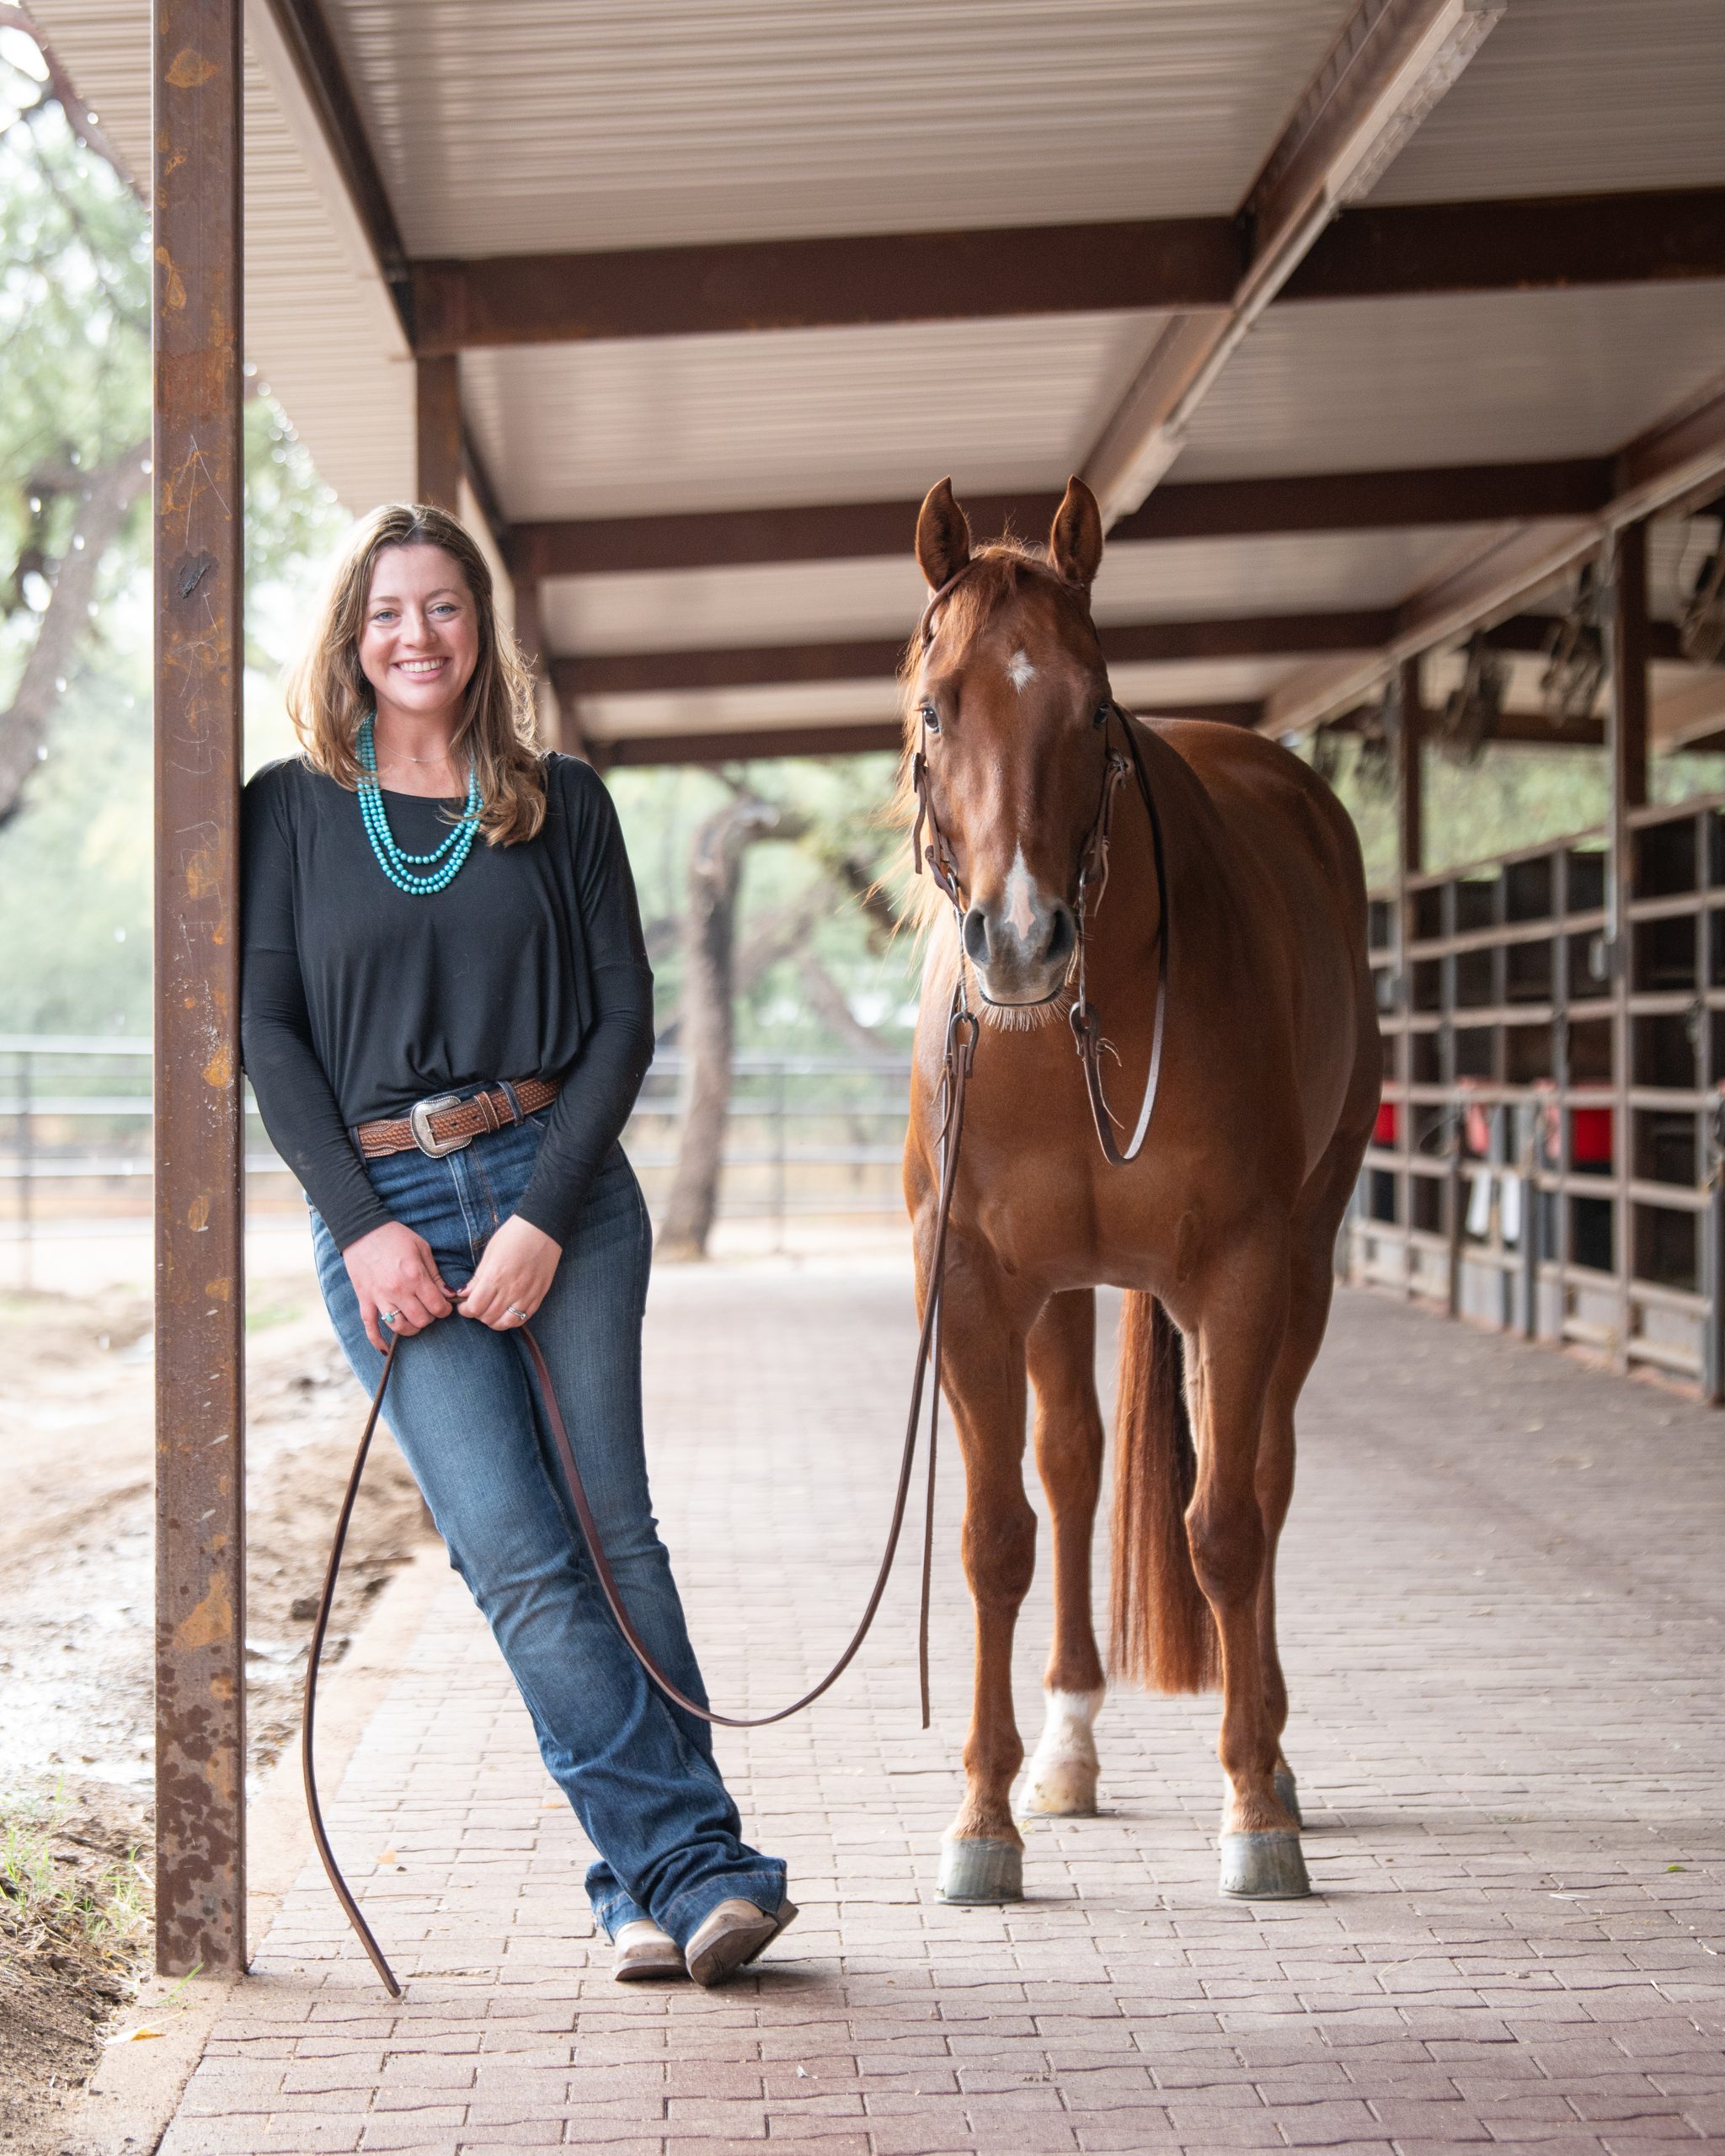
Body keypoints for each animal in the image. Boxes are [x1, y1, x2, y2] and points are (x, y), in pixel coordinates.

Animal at [899, 476, 1381, 1903]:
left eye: (1093, 706)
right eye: (937, 706)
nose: (1019, 940)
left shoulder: (1241, 1269)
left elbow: (1225, 1525)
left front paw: (1255, 1809)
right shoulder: (971, 1282)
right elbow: (997, 1536)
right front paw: (982, 1819)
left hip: (1301, 1266)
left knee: (1260, 1472)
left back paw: (1270, 1754)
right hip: (1062, 1291)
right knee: (1070, 1470)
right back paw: (1065, 1752)